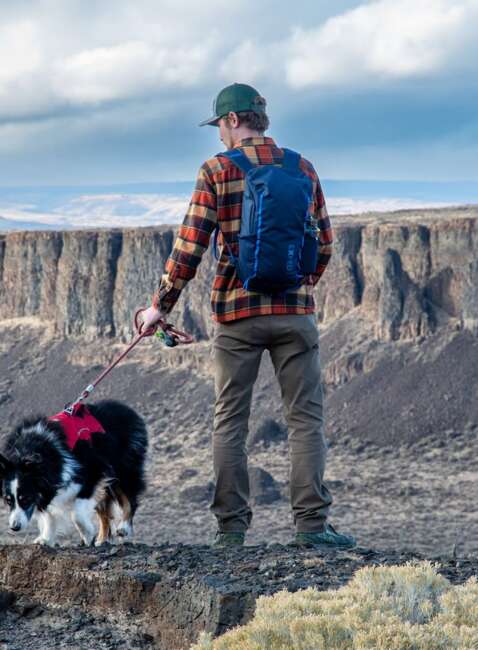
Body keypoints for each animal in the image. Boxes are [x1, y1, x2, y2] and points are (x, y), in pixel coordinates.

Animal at [0, 398, 148, 544]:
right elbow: (48, 513)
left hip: (124, 465)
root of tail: (126, 409)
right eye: (8, 500)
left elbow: (76, 513)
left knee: (129, 496)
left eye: (25, 498)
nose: (15, 527)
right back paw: (102, 539)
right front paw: (45, 539)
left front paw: (87, 534)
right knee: (104, 511)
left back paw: (123, 528)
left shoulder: (94, 470)